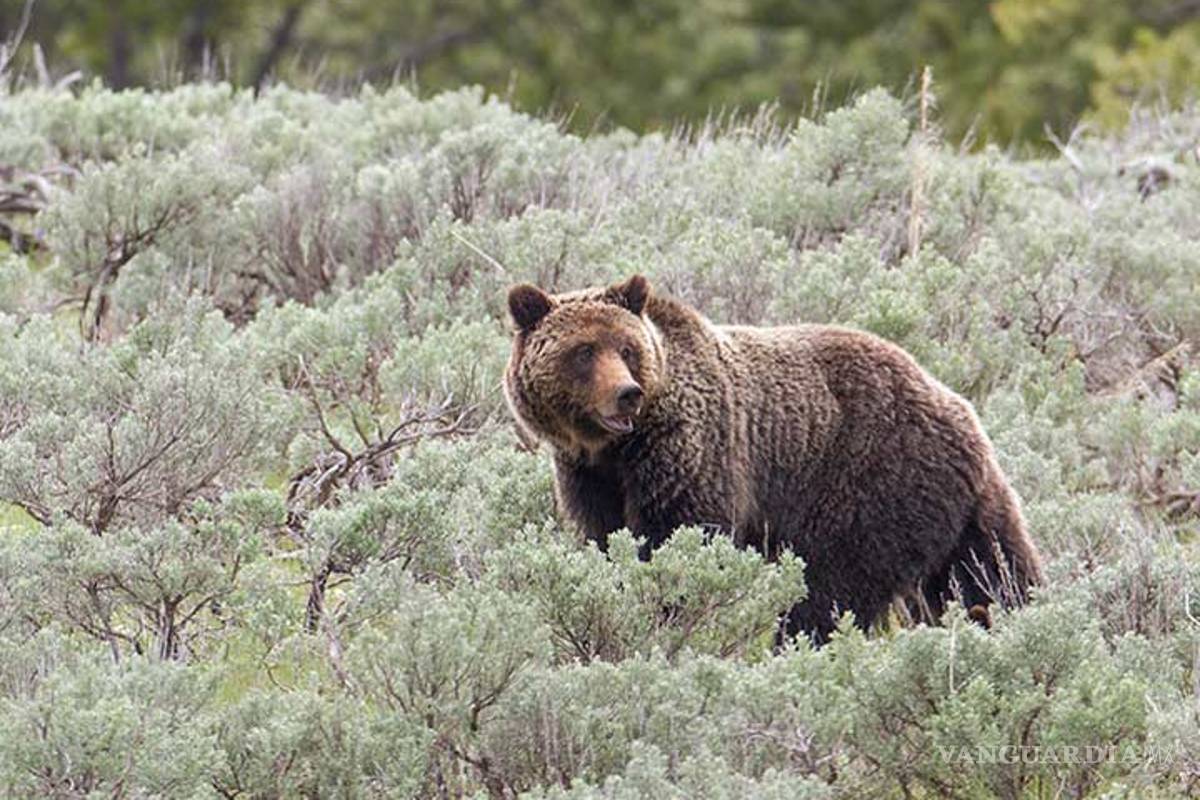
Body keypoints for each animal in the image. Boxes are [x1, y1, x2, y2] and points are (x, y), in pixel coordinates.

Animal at [503, 274, 1044, 644]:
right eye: (583, 350)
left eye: (627, 347)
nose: (626, 394)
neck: (615, 449)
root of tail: (961, 410)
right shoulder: (589, 477)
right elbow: (605, 539)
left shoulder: (691, 452)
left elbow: (679, 537)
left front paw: (670, 612)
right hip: (954, 507)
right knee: (989, 571)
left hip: (869, 483)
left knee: (829, 589)